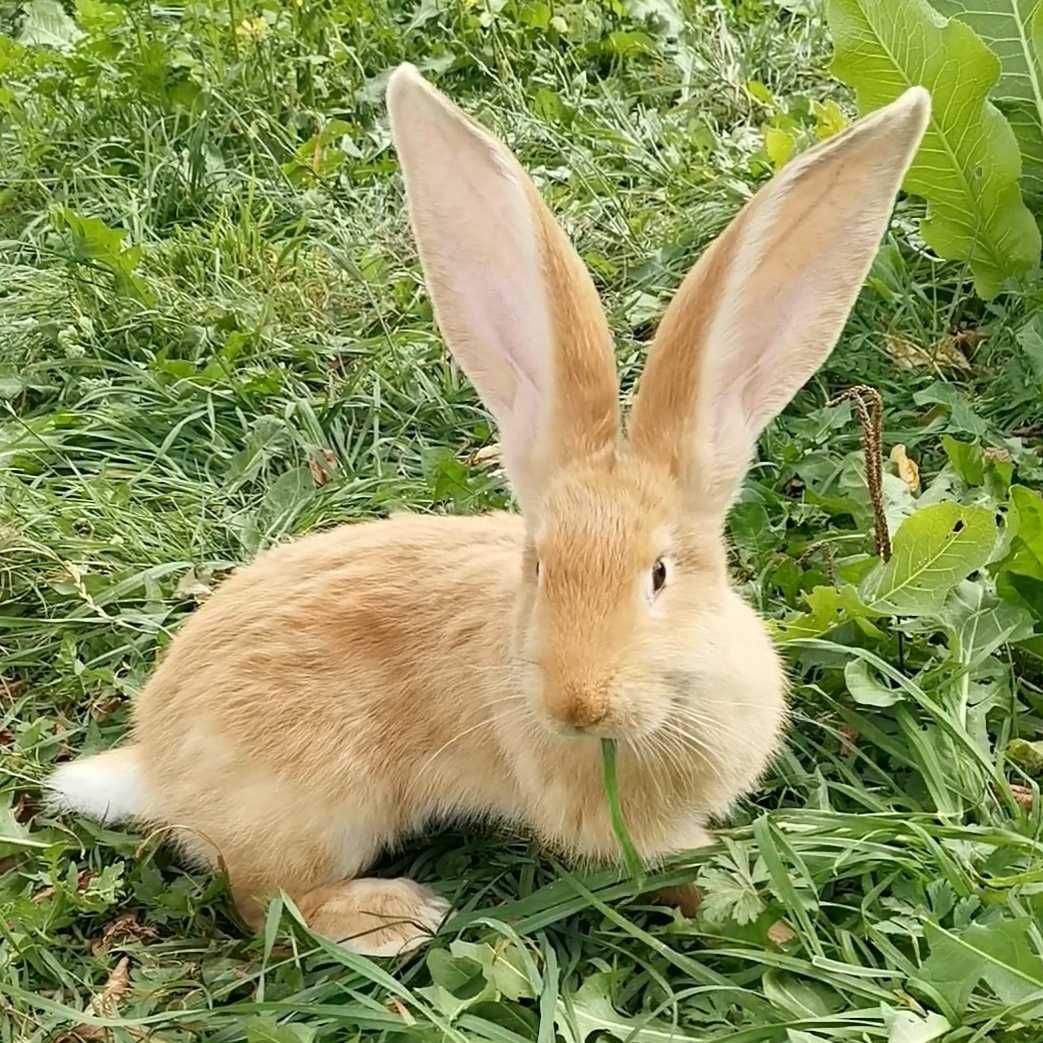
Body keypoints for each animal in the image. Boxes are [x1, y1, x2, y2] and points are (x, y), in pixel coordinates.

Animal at [46, 65, 930, 955]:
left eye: (659, 573)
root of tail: (159, 768)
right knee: (265, 903)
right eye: (539, 567)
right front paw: (769, 922)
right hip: (310, 813)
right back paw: (392, 916)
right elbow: (680, 871)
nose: (577, 705)